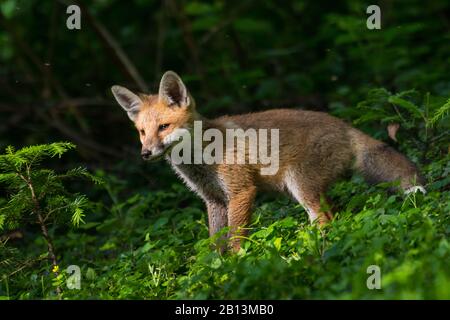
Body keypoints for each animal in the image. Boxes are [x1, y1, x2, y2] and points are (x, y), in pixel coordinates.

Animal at [111, 71, 426, 251]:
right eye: (142, 132)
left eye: (163, 127)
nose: (145, 153)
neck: (201, 156)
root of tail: (344, 125)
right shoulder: (214, 200)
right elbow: (215, 243)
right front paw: (214, 272)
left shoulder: (241, 191)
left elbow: (235, 239)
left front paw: (236, 265)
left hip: (301, 185)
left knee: (326, 220)